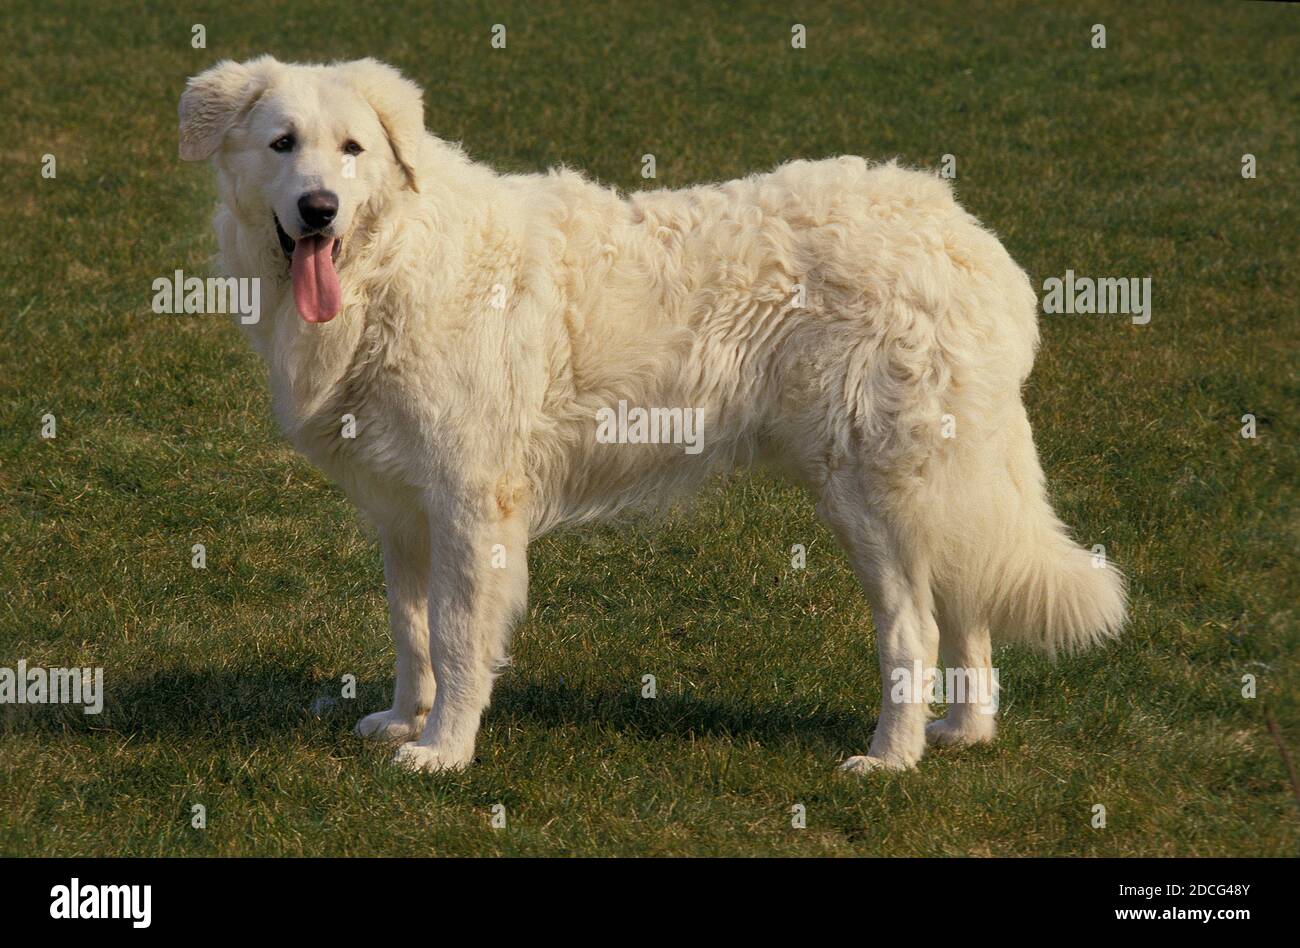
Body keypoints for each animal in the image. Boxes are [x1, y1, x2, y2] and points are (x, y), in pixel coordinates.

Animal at [178, 55, 1123, 775]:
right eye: (283, 145)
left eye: (353, 149)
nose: (320, 210)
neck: (393, 263)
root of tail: (964, 233)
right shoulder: (405, 509)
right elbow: (410, 632)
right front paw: (406, 721)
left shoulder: (471, 503)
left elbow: (454, 636)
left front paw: (444, 752)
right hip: (933, 484)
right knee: (967, 600)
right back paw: (962, 732)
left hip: (870, 491)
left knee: (914, 629)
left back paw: (890, 758)